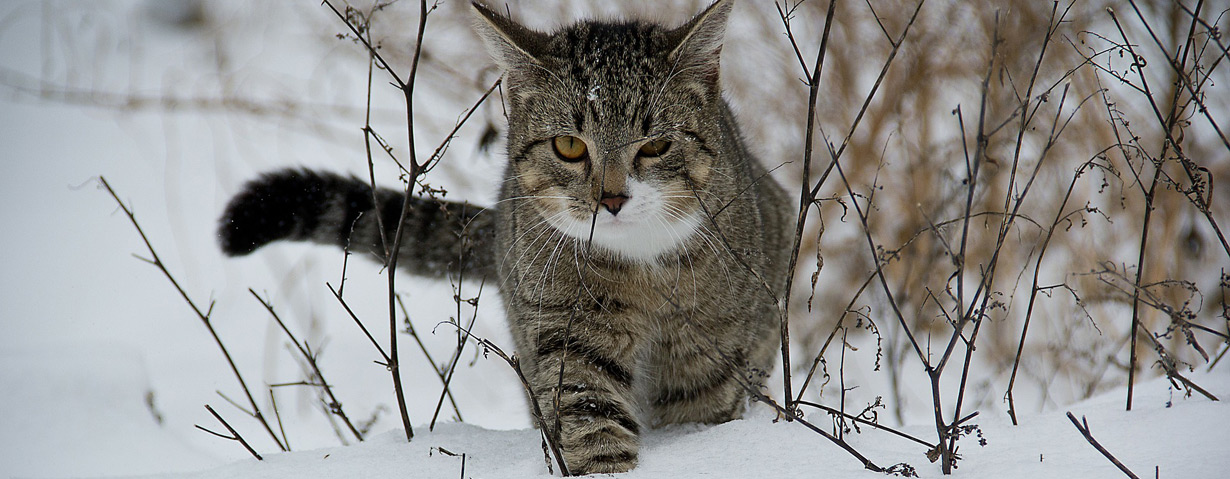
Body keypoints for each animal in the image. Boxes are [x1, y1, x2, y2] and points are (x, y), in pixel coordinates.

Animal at [216, 0, 792, 470]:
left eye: (655, 146)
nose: (611, 199)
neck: (640, 267)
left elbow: (700, 409)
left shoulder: (710, 349)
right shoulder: (564, 329)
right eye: (568, 146)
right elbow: (590, 418)